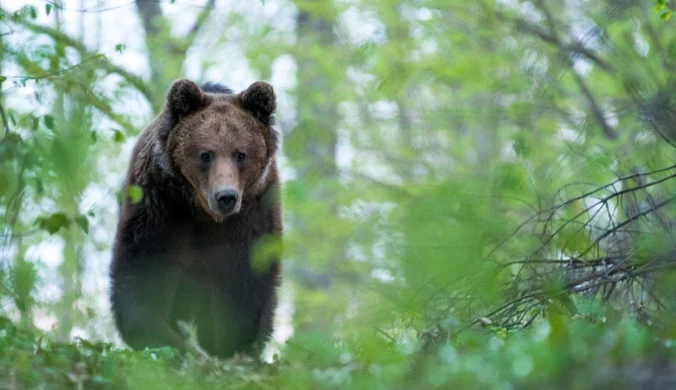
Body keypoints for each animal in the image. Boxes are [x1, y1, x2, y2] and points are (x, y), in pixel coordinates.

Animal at [109, 79, 282, 360]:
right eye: (206, 154)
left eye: (241, 154)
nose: (226, 197)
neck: (201, 212)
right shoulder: (160, 206)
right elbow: (144, 273)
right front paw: (165, 342)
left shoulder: (251, 216)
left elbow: (244, 283)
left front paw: (232, 347)